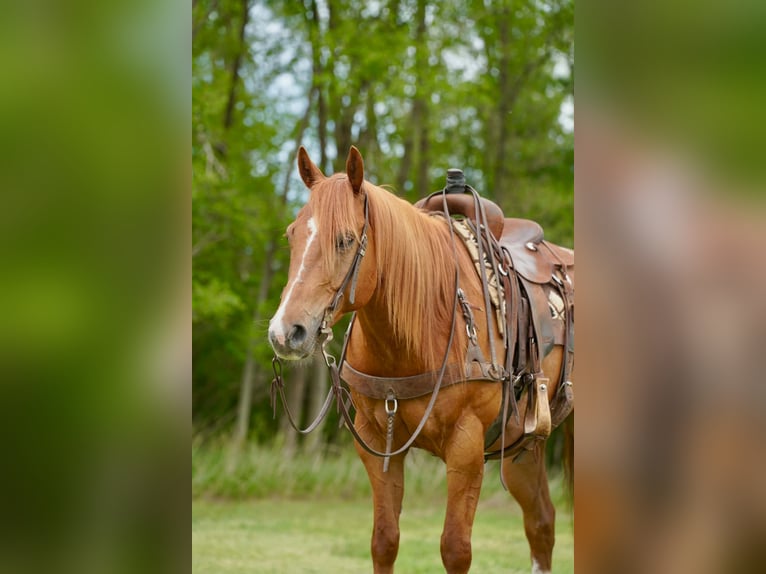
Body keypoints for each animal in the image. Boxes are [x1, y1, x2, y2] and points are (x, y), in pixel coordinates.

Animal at [268, 145, 574, 573]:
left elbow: (455, 549)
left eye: (345, 239)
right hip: (523, 446)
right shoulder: (375, 441)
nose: (285, 332)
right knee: (541, 524)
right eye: (292, 235)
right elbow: (384, 541)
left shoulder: (466, 446)